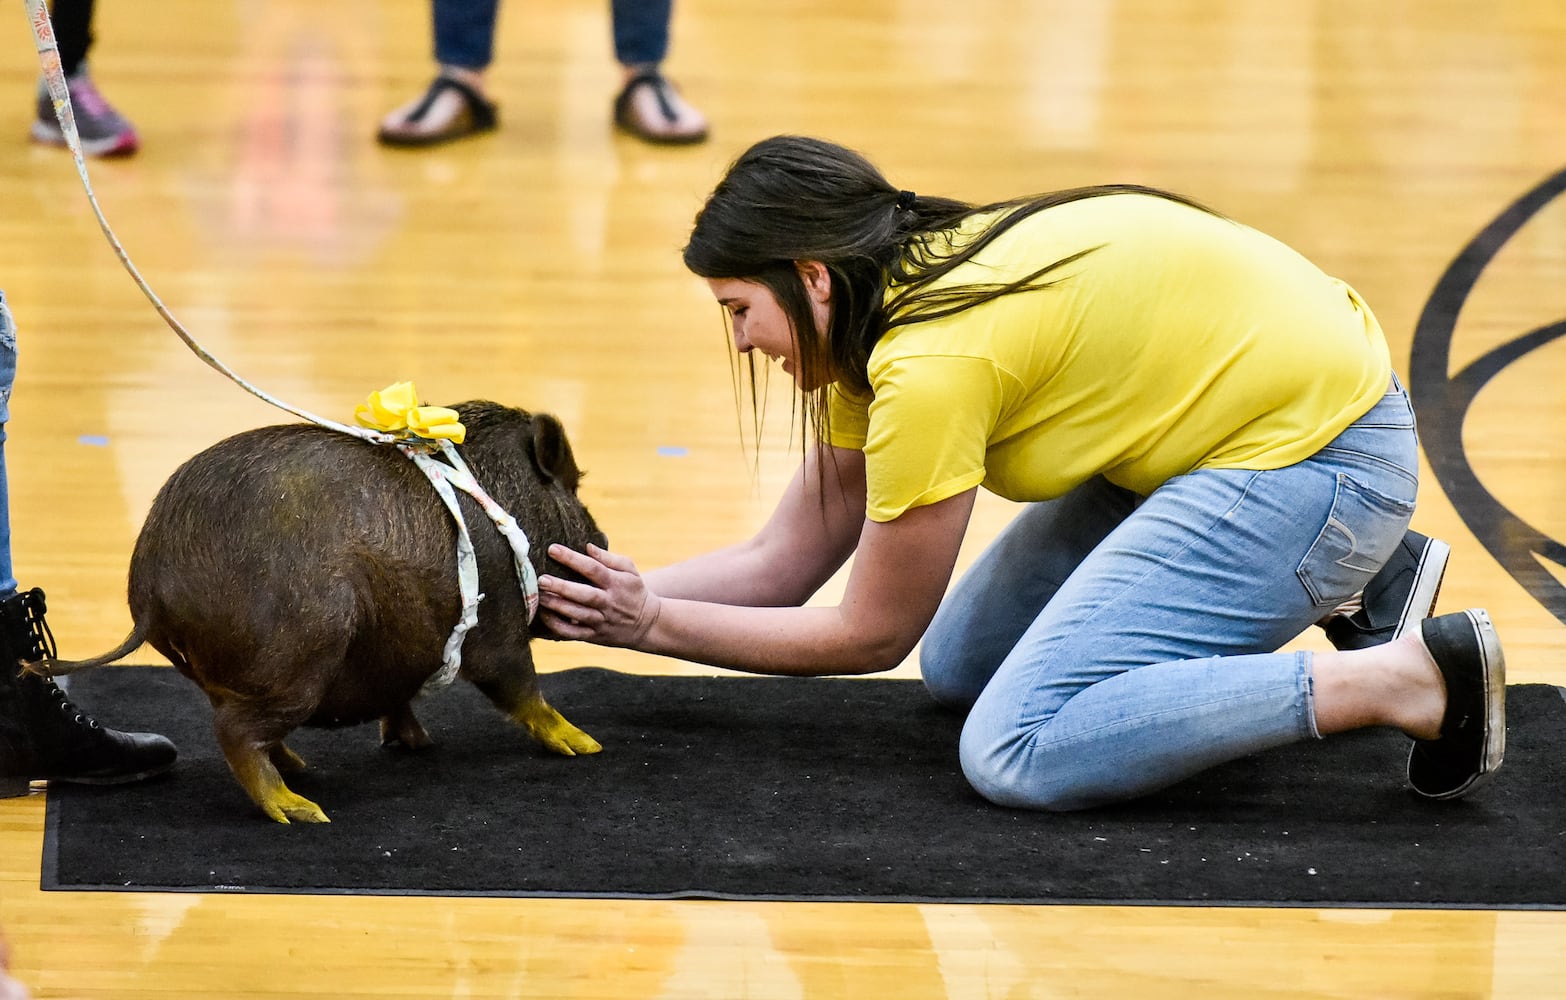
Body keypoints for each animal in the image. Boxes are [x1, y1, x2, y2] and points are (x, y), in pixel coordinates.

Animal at [38, 403, 604, 826]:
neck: (509, 508)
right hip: (301, 654)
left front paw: (417, 743)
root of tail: (151, 586)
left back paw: (300, 770)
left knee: (238, 722)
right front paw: (585, 746)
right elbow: (522, 687)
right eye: (574, 489)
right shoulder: (498, 624)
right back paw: (301, 809)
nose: (604, 543)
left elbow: (401, 699)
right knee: (233, 731)